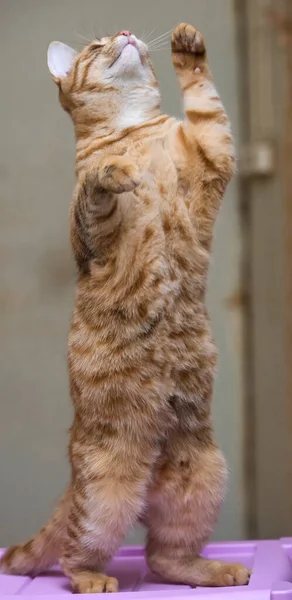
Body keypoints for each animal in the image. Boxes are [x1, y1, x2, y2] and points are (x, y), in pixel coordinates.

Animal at [0, 22, 251, 592]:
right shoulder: (90, 234)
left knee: (165, 556)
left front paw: (188, 45)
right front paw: (114, 172)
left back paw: (214, 568)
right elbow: (95, 187)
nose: (125, 31)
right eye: (96, 47)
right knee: (75, 553)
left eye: (112, 36)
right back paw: (93, 579)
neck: (133, 130)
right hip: (105, 493)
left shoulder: (213, 151)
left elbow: (206, 99)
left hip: (202, 478)